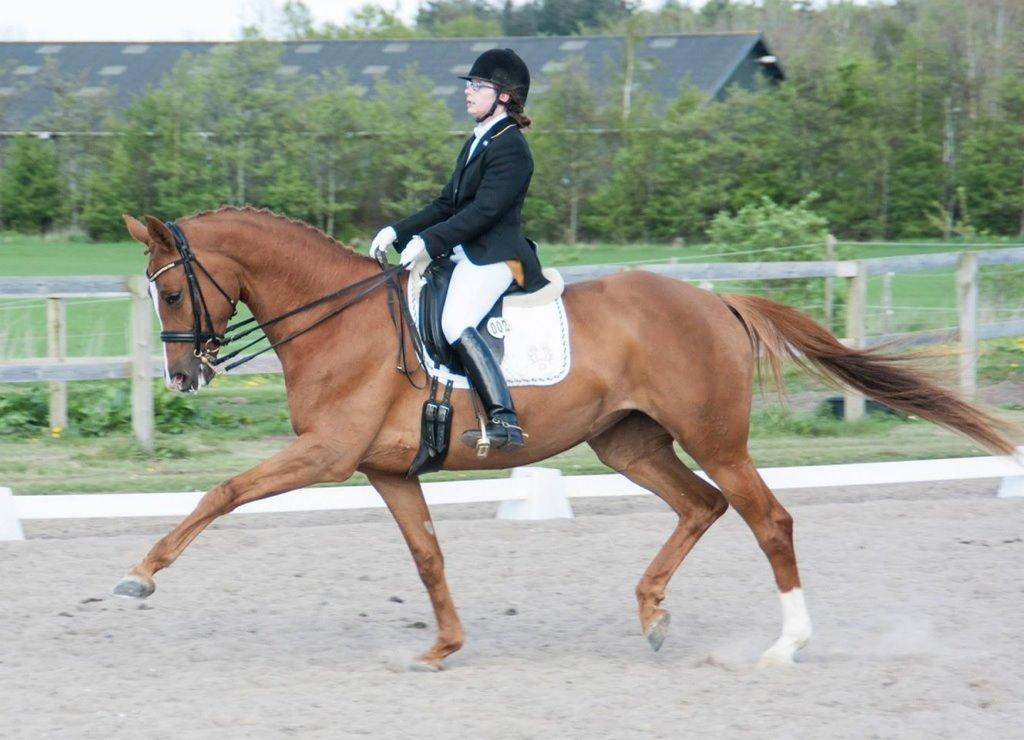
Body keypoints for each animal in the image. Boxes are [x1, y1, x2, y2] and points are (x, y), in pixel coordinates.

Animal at [114, 206, 1015, 671]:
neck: (339, 321)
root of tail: (718, 301)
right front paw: (443, 646)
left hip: (712, 437)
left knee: (768, 519)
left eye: (170, 293)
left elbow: (224, 490)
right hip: (629, 444)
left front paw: (140, 576)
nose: (183, 378)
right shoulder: (386, 470)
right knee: (703, 507)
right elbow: (428, 555)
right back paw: (652, 615)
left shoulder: (328, 456)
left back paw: (784, 645)